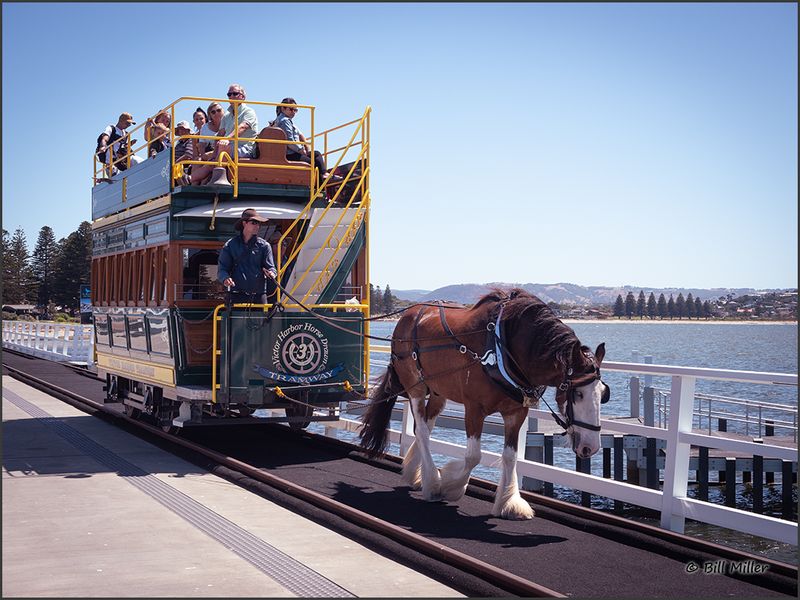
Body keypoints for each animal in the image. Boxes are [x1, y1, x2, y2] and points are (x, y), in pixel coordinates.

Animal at [360, 288, 608, 516]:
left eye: (604, 393)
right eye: (578, 394)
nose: (591, 447)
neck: (504, 347)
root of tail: (409, 315)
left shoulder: (516, 412)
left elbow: (510, 456)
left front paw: (509, 502)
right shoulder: (474, 408)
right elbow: (473, 456)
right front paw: (451, 485)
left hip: (439, 391)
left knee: (427, 428)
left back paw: (415, 472)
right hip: (416, 387)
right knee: (421, 430)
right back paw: (432, 482)